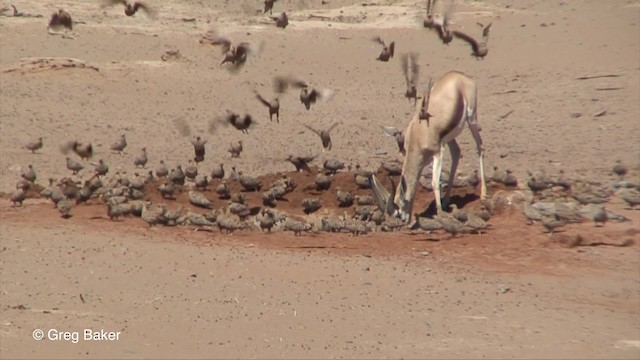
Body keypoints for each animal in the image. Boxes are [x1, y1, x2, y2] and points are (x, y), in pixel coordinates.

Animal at [370, 70, 484, 222]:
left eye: (398, 213)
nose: (404, 221)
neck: (419, 134)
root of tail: (459, 75)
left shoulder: (438, 152)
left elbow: (435, 182)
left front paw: (440, 213)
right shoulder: (424, 159)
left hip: (472, 118)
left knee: (480, 146)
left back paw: (483, 195)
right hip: (449, 138)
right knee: (456, 152)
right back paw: (446, 200)